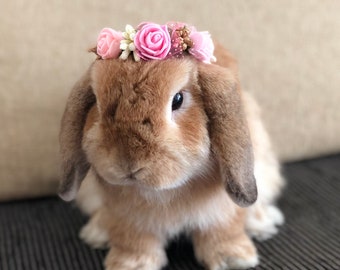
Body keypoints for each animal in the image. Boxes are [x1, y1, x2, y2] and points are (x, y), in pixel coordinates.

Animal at [59, 38, 284, 270]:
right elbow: (133, 239)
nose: (128, 165)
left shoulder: (222, 209)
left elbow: (223, 229)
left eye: (177, 100)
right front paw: (131, 264)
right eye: (96, 101)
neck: (166, 191)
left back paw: (264, 222)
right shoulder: (128, 215)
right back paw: (96, 232)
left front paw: (233, 259)